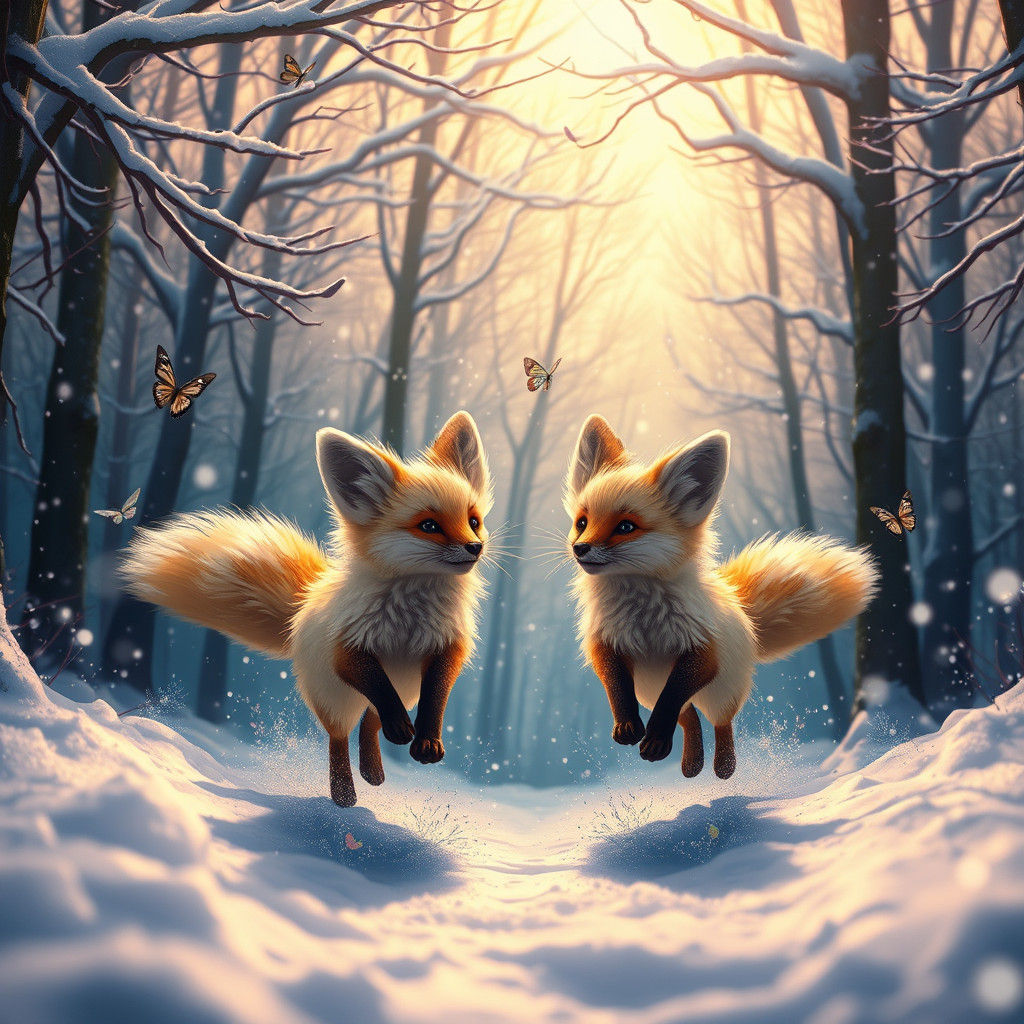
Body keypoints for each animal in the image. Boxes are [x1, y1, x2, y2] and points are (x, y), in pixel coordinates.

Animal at [119, 411, 492, 807]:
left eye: (473, 520)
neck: (409, 622)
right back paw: (345, 793)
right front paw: (393, 740)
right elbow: (375, 687)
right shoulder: (347, 647)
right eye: (429, 525)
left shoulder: (446, 647)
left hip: (406, 687)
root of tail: (303, 604)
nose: (475, 547)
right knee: (342, 734)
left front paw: (427, 741)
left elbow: (436, 696)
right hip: (334, 698)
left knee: (370, 720)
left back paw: (374, 771)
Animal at [564, 415, 878, 779]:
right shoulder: (606, 642)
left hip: (721, 692)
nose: (580, 548)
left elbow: (673, 698)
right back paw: (689, 763)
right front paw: (629, 727)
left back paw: (721, 766)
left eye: (626, 527)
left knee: (717, 720)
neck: (643, 620)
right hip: (648, 688)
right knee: (689, 716)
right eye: (582, 522)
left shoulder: (702, 648)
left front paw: (657, 737)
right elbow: (616, 685)